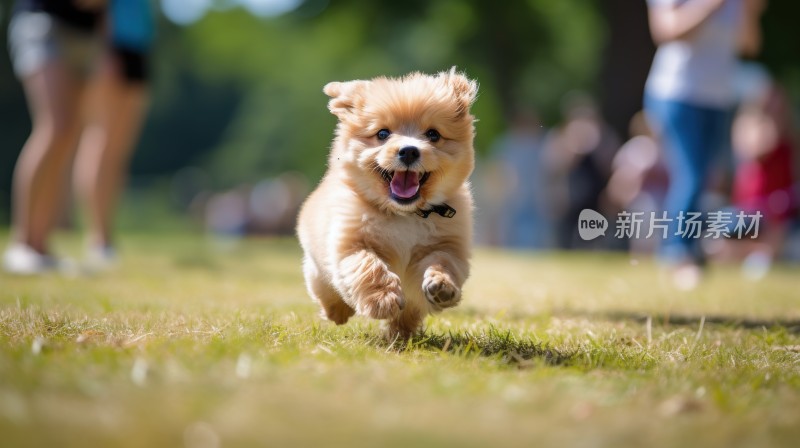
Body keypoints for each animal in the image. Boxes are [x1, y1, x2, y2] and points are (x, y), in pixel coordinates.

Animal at [296, 68, 478, 338]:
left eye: (433, 134)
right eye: (382, 134)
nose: (409, 151)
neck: (405, 214)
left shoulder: (447, 245)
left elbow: (443, 262)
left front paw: (442, 285)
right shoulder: (350, 243)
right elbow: (369, 266)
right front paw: (383, 299)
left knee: (410, 311)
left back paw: (401, 332)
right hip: (317, 266)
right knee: (325, 288)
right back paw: (337, 311)